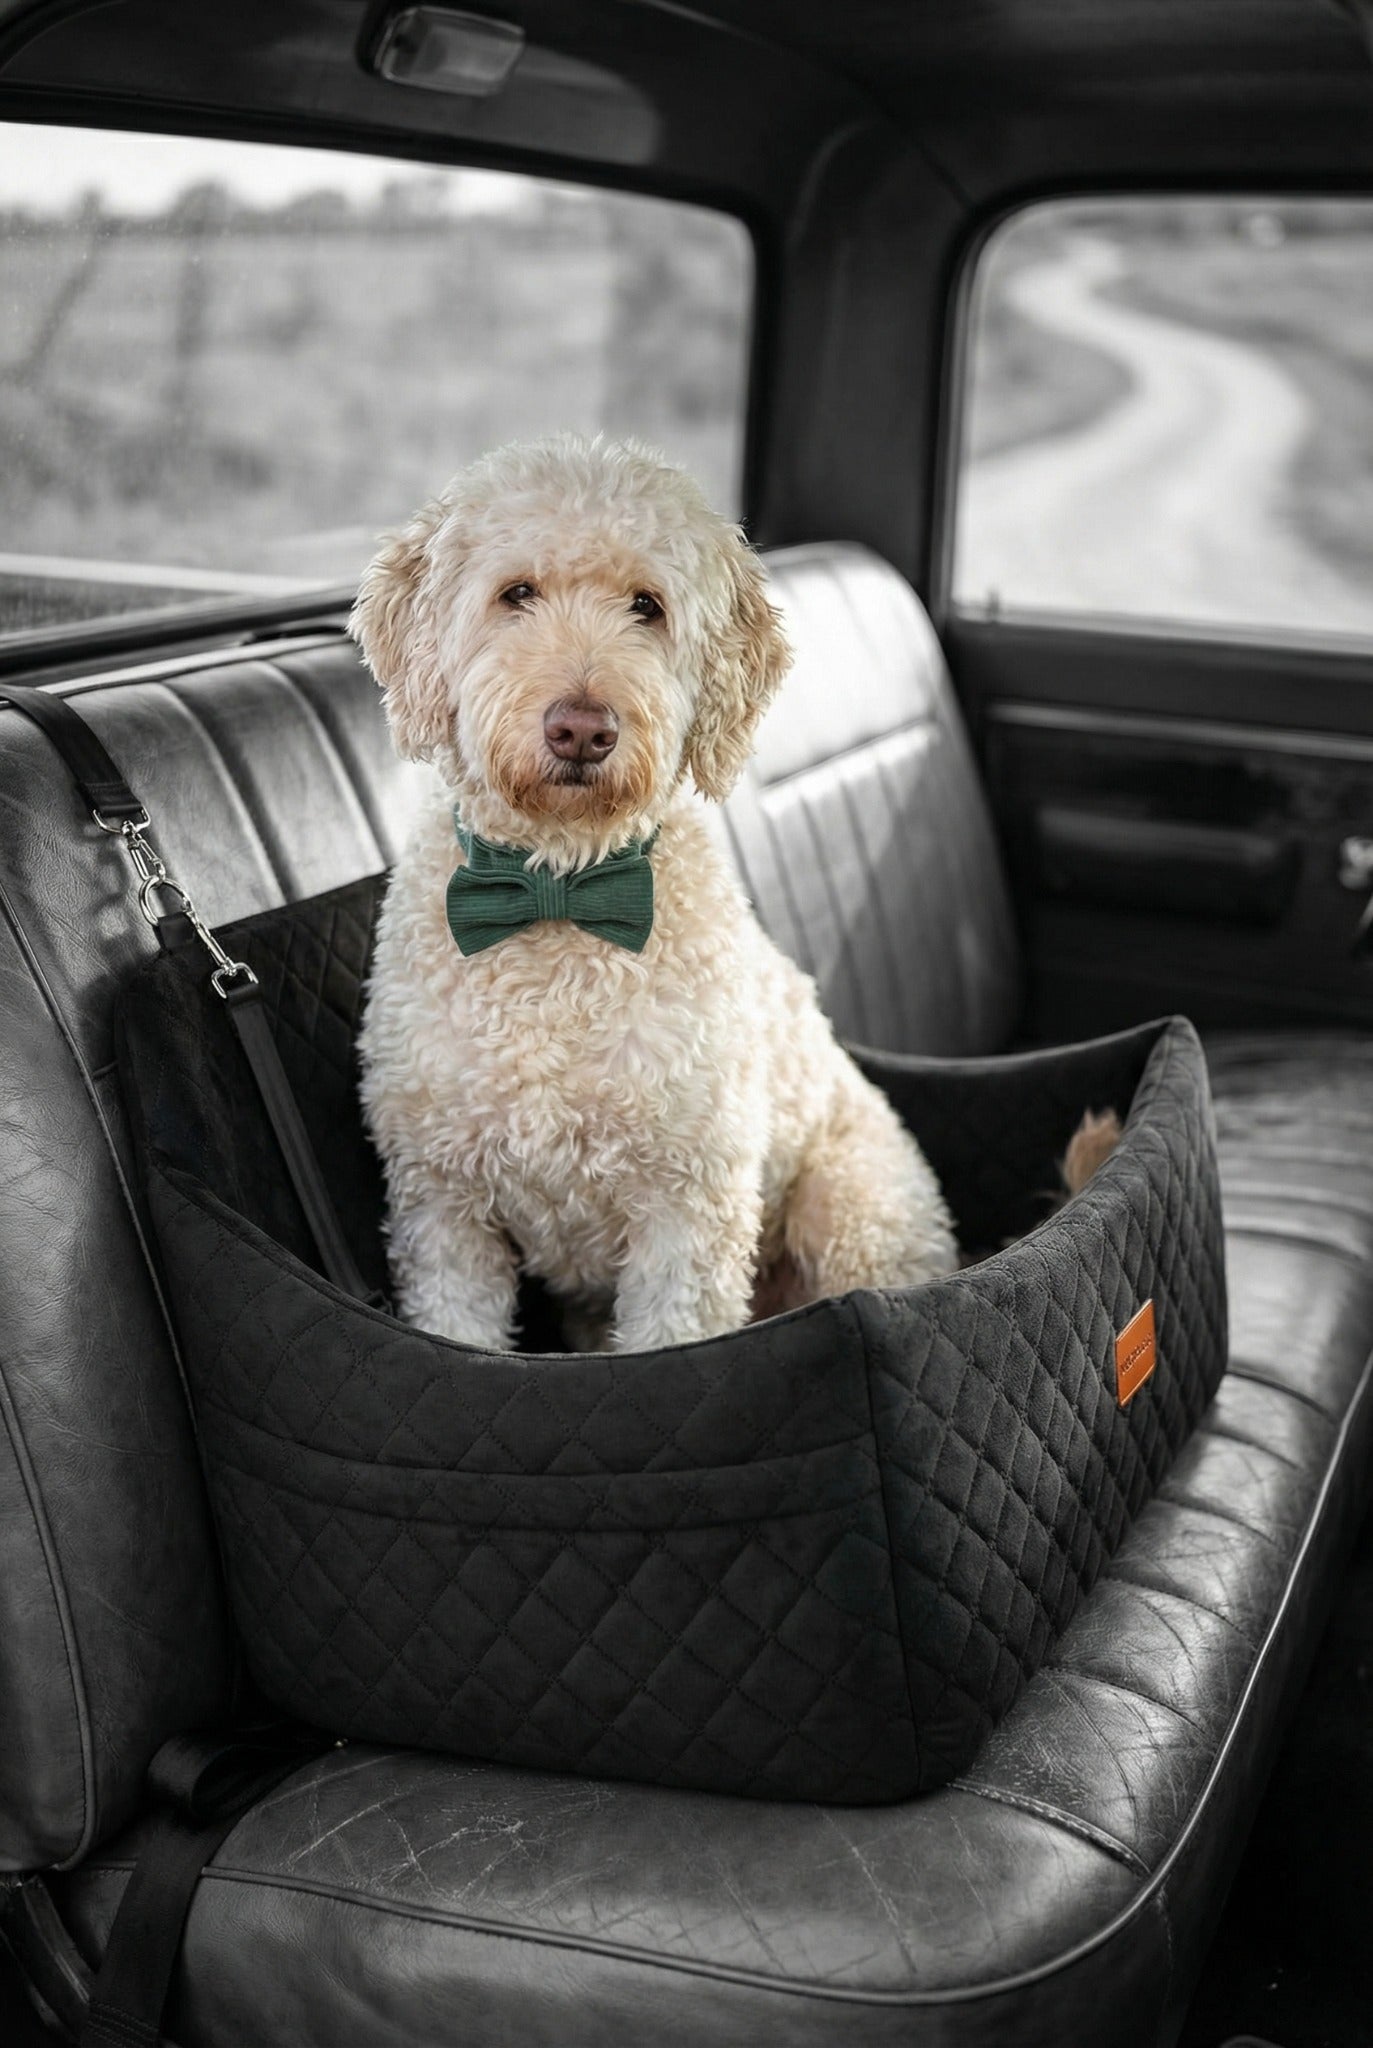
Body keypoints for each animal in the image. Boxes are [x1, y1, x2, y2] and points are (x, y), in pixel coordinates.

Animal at [351, 435, 1110, 1352]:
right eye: (516, 593)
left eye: (646, 606)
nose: (583, 727)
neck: (557, 894)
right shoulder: (442, 1207)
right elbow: (455, 1324)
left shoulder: (689, 1209)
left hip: (851, 1206)